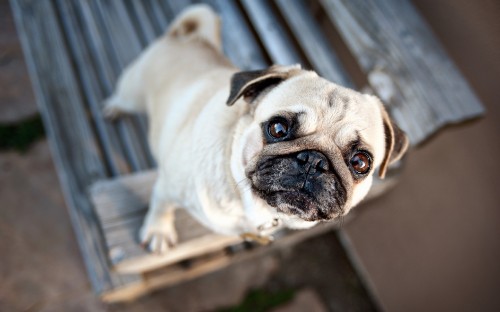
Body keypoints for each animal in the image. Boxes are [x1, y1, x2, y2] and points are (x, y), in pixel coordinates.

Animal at [104, 4, 406, 254]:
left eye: (361, 162)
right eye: (278, 128)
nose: (314, 161)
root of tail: (187, 38)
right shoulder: (168, 186)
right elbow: (160, 205)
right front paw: (158, 231)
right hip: (132, 92)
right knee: (122, 98)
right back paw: (112, 109)